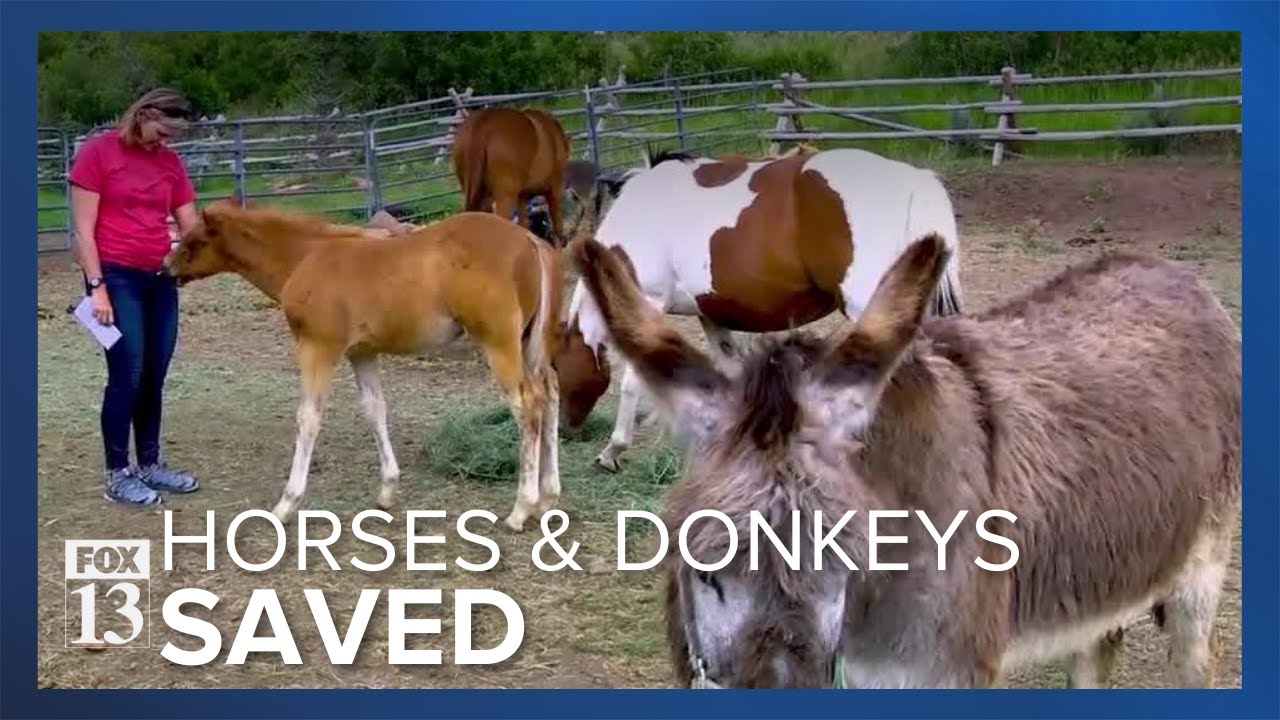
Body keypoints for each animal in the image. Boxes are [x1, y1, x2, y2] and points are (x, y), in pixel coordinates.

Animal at [163, 201, 565, 532]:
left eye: (194, 241)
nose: (166, 268)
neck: (304, 257)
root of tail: (530, 239)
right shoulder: (362, 352)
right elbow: (375, 409)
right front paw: (387, 490)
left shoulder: (318, 346)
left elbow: (308, 418)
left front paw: (286, 504)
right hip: (531, 344)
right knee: (550, 396)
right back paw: (548, 498)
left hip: (498, 343)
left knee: (527, 406)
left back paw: (521, 509)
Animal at [452, 106, 571, 246]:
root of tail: (483, 122)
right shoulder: (554, 191)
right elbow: (557, 228)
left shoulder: (522, 197)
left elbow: (524, 225)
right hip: (505, 197)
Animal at [553, 146, 965, 472]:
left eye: (556, 367)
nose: (565, 430)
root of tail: (912, 179)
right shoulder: (711, 315)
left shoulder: (650, 302)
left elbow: (631, 384)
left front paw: (612, 450)